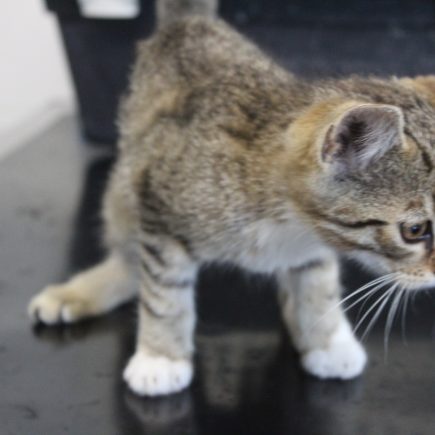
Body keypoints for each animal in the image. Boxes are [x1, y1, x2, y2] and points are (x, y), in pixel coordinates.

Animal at [28, 0, 435, 397]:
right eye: (414, 231)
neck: (291, 223)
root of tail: (189, 23)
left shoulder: (313, 248)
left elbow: (317, 286)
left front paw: (327, 341)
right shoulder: (159, 209)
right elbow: (164, 292)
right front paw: (161, 357)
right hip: (126, 192)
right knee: (130, 256)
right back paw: (76, 294)